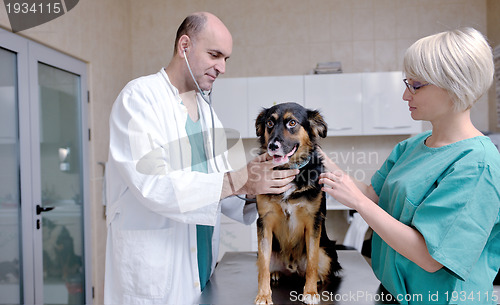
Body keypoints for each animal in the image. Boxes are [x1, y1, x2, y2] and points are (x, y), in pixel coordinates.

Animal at [254, 102, 340, 304]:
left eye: (292, 122)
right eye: (269, 123)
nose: (273, 146)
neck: (288, 171)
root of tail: (292, 267)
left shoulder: (314, 220)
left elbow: (312, 261)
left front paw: (310, 293)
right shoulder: (264, 221)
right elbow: (263, 265)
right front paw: (263, 295)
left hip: (328, 251)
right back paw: (276, 273)